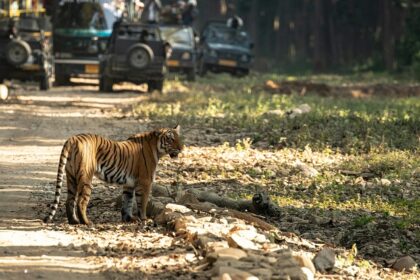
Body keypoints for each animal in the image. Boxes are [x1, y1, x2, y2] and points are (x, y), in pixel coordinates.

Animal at [43, 124, 183, 225]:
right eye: (171, 139)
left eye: (179, 138)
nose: (182, 148)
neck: (156, 149)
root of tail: (72, 138)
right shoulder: (145, 181)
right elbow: (142, 202)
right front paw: (144, 219)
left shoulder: (129, 184)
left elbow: (127, 201)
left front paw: (128, 219)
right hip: (86, 177)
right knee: (81, 201)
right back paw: (86, 222)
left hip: (71, 176)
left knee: (69, 200)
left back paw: (74, 222)